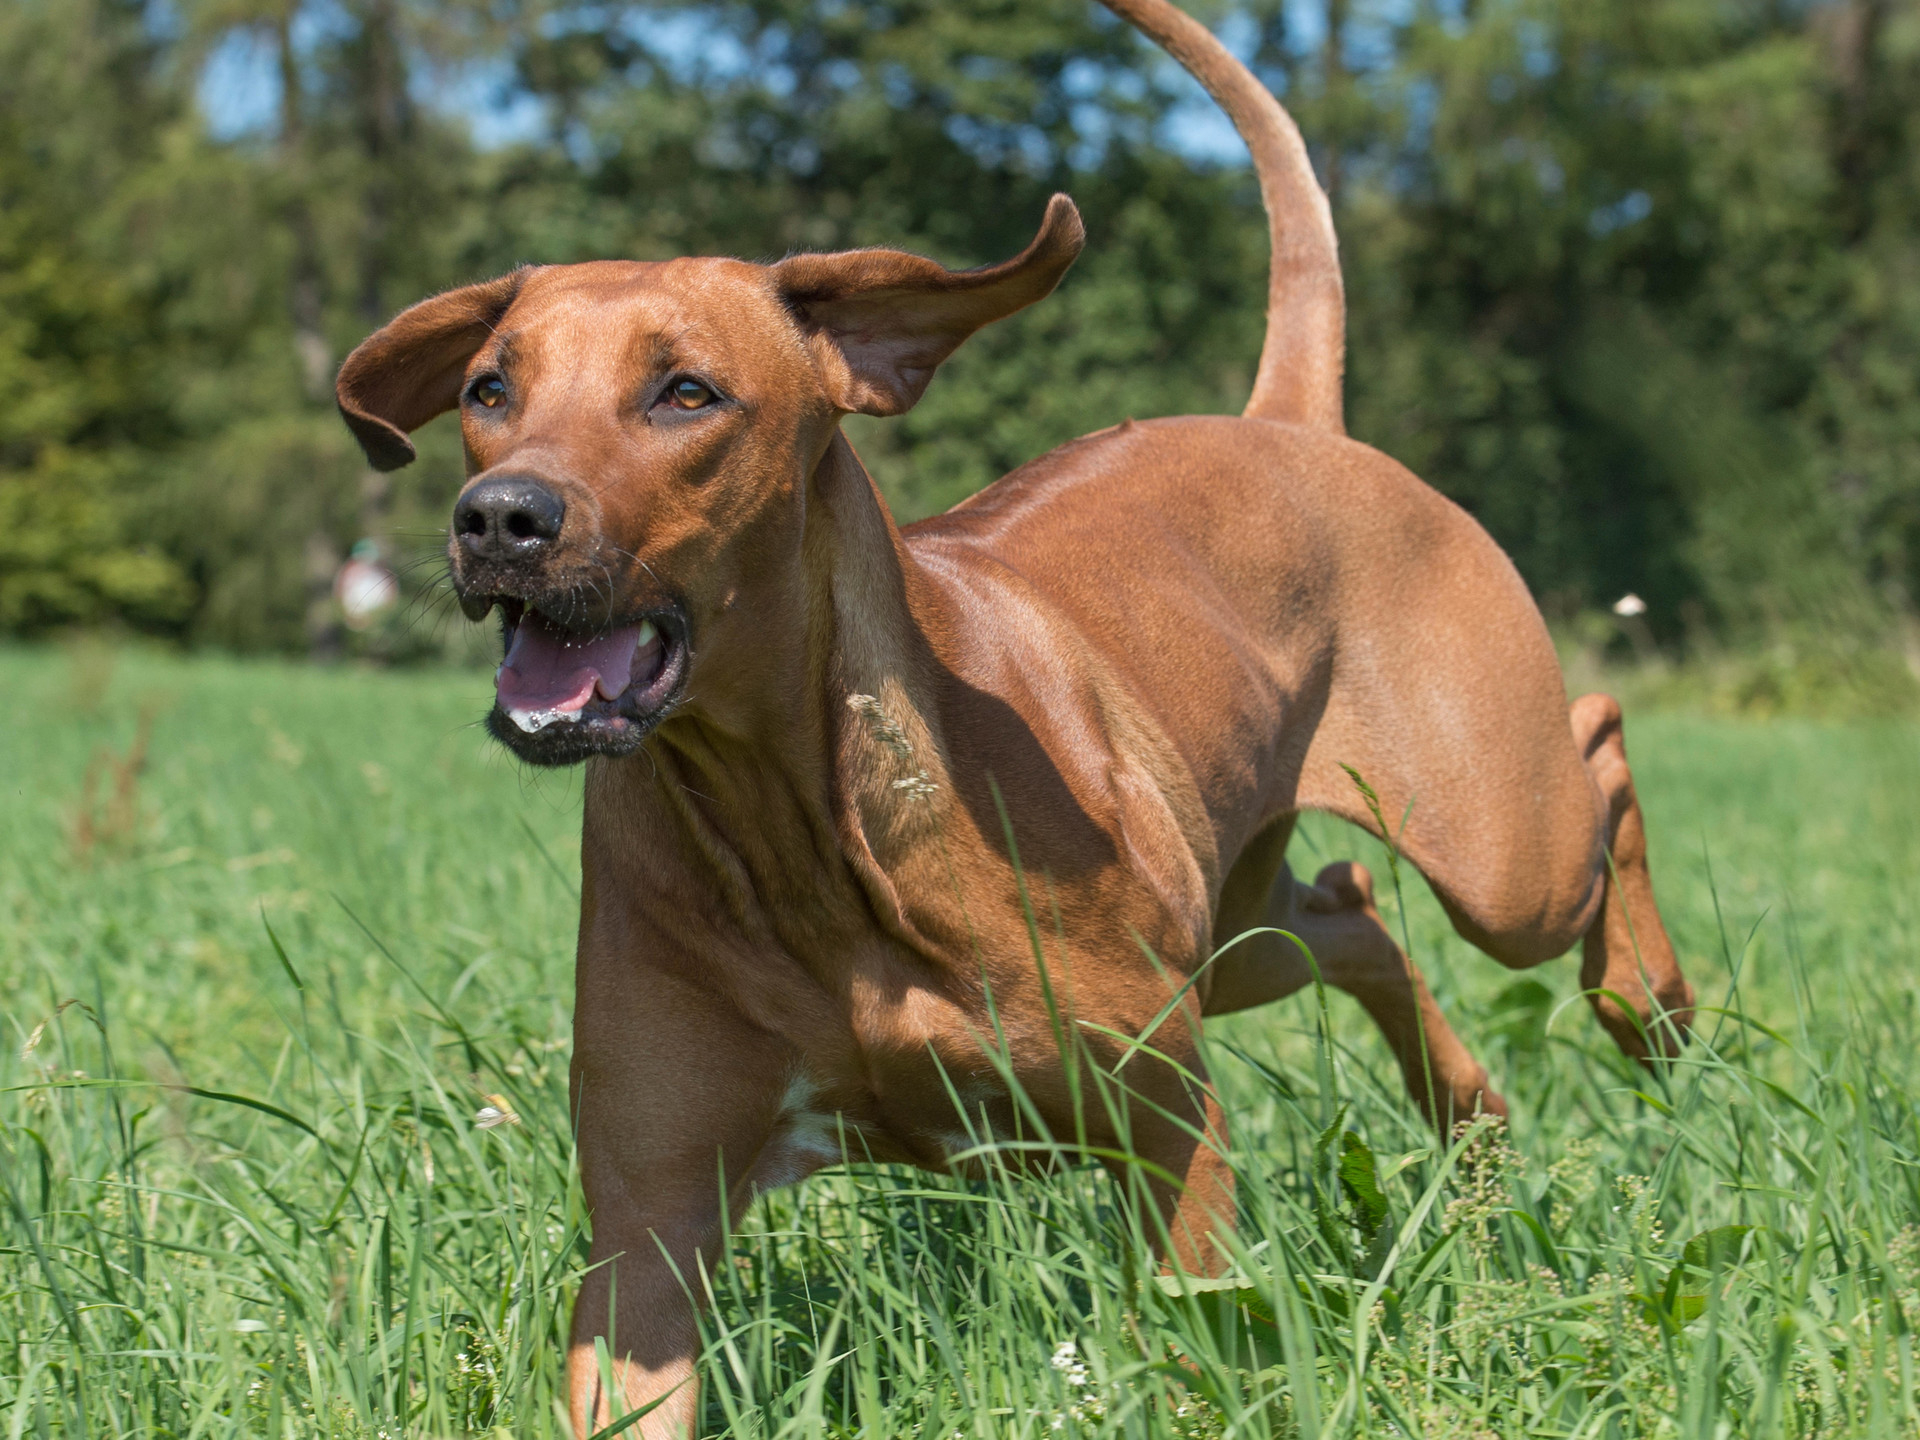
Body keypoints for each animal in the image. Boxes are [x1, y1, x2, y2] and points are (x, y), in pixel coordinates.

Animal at [334, 2, 1697, 1436]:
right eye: (489, 390)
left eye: (686, 393)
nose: (500, 519)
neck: (802, 833)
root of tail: (1290, 424)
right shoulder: (649, 1227)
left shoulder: (1166, 1122)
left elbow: (1198, 1332)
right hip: (1230, 922)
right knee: (1351, 908)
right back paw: (1471, 1117)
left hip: (1498, 847)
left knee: (1594, 741)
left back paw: (1645, 1000)